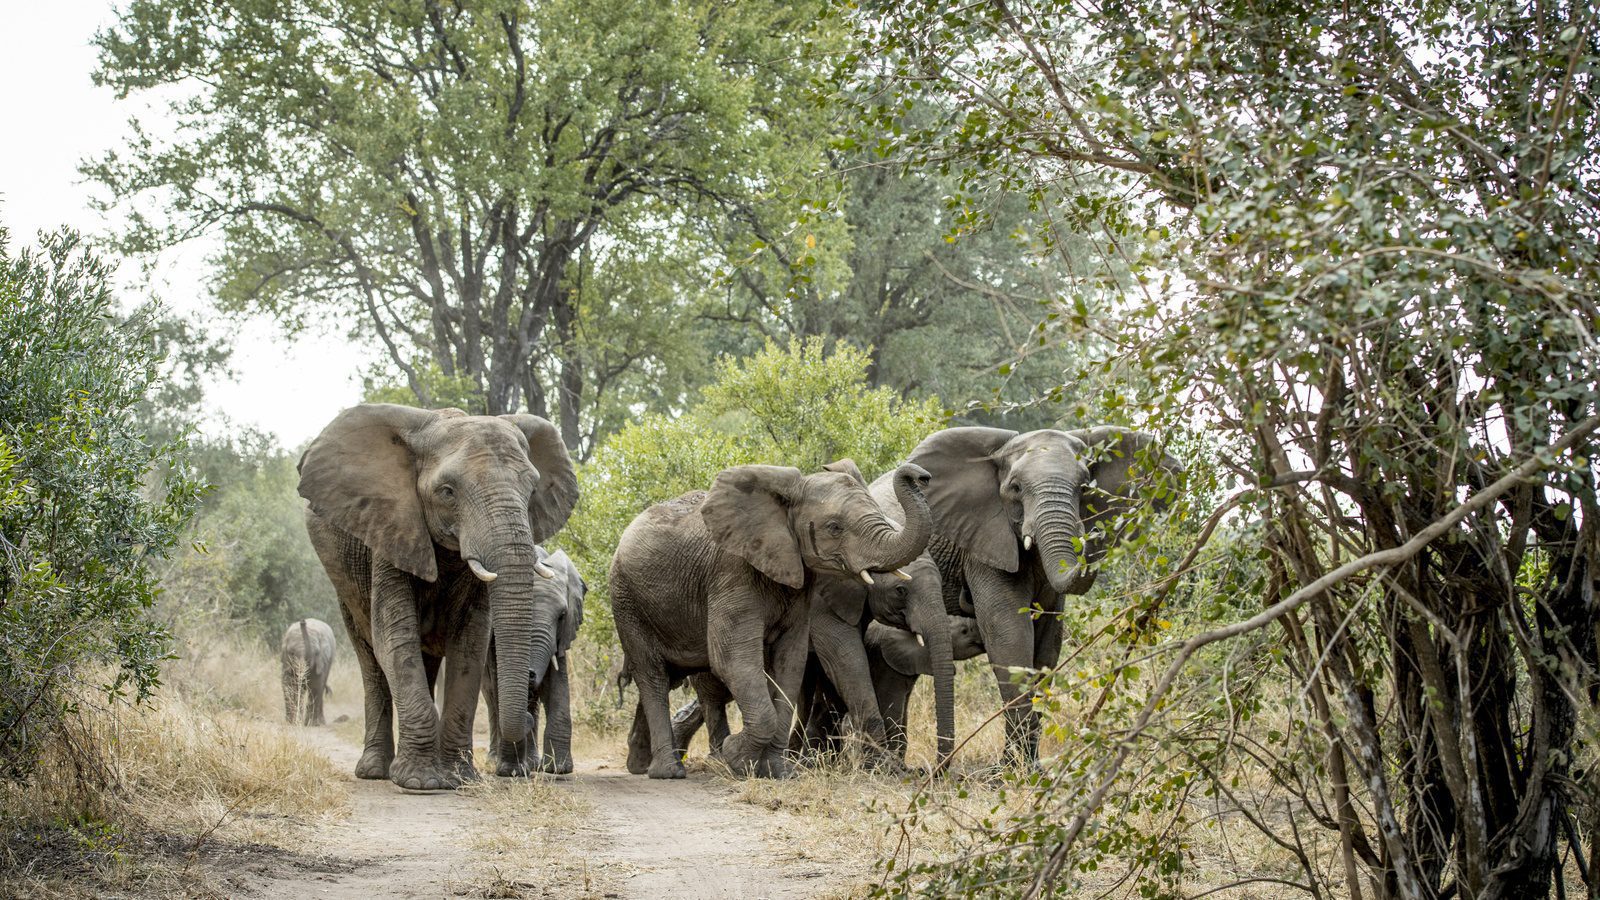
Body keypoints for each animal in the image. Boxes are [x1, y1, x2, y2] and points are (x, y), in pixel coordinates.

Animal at [297, 403, 579, 787]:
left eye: (532, 487)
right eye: (447, 492)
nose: (528, 717)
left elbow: (470, 645)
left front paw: (459, 778)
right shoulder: (392, 530)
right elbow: (395, 639)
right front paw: (419, 783)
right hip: (346, 583)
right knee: (371, 659)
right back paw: (375, 772)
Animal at [486, 544, 595, 775]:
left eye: (562, 616)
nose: (530, 673)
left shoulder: (560, 638)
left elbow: (557, 686)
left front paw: (559, 769)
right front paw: (511, 772)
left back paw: (534, 764)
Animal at [611, 458, 934, 775]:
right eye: (834, 527)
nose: (921, 474)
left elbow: (790, 661)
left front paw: (778, 771)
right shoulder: (731, 573)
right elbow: (732, 658)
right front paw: (736, 756)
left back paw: (640, 763)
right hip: (627, 601)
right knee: (654, 675)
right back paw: (670, 771)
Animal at [902, 422, 1190, 759]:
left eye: (1085, 488)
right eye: (1015, 488)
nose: (1092, 535)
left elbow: (1048, 644)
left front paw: (1029, 765)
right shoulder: (984, 543)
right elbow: (1010, 635)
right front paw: (1013, 768)